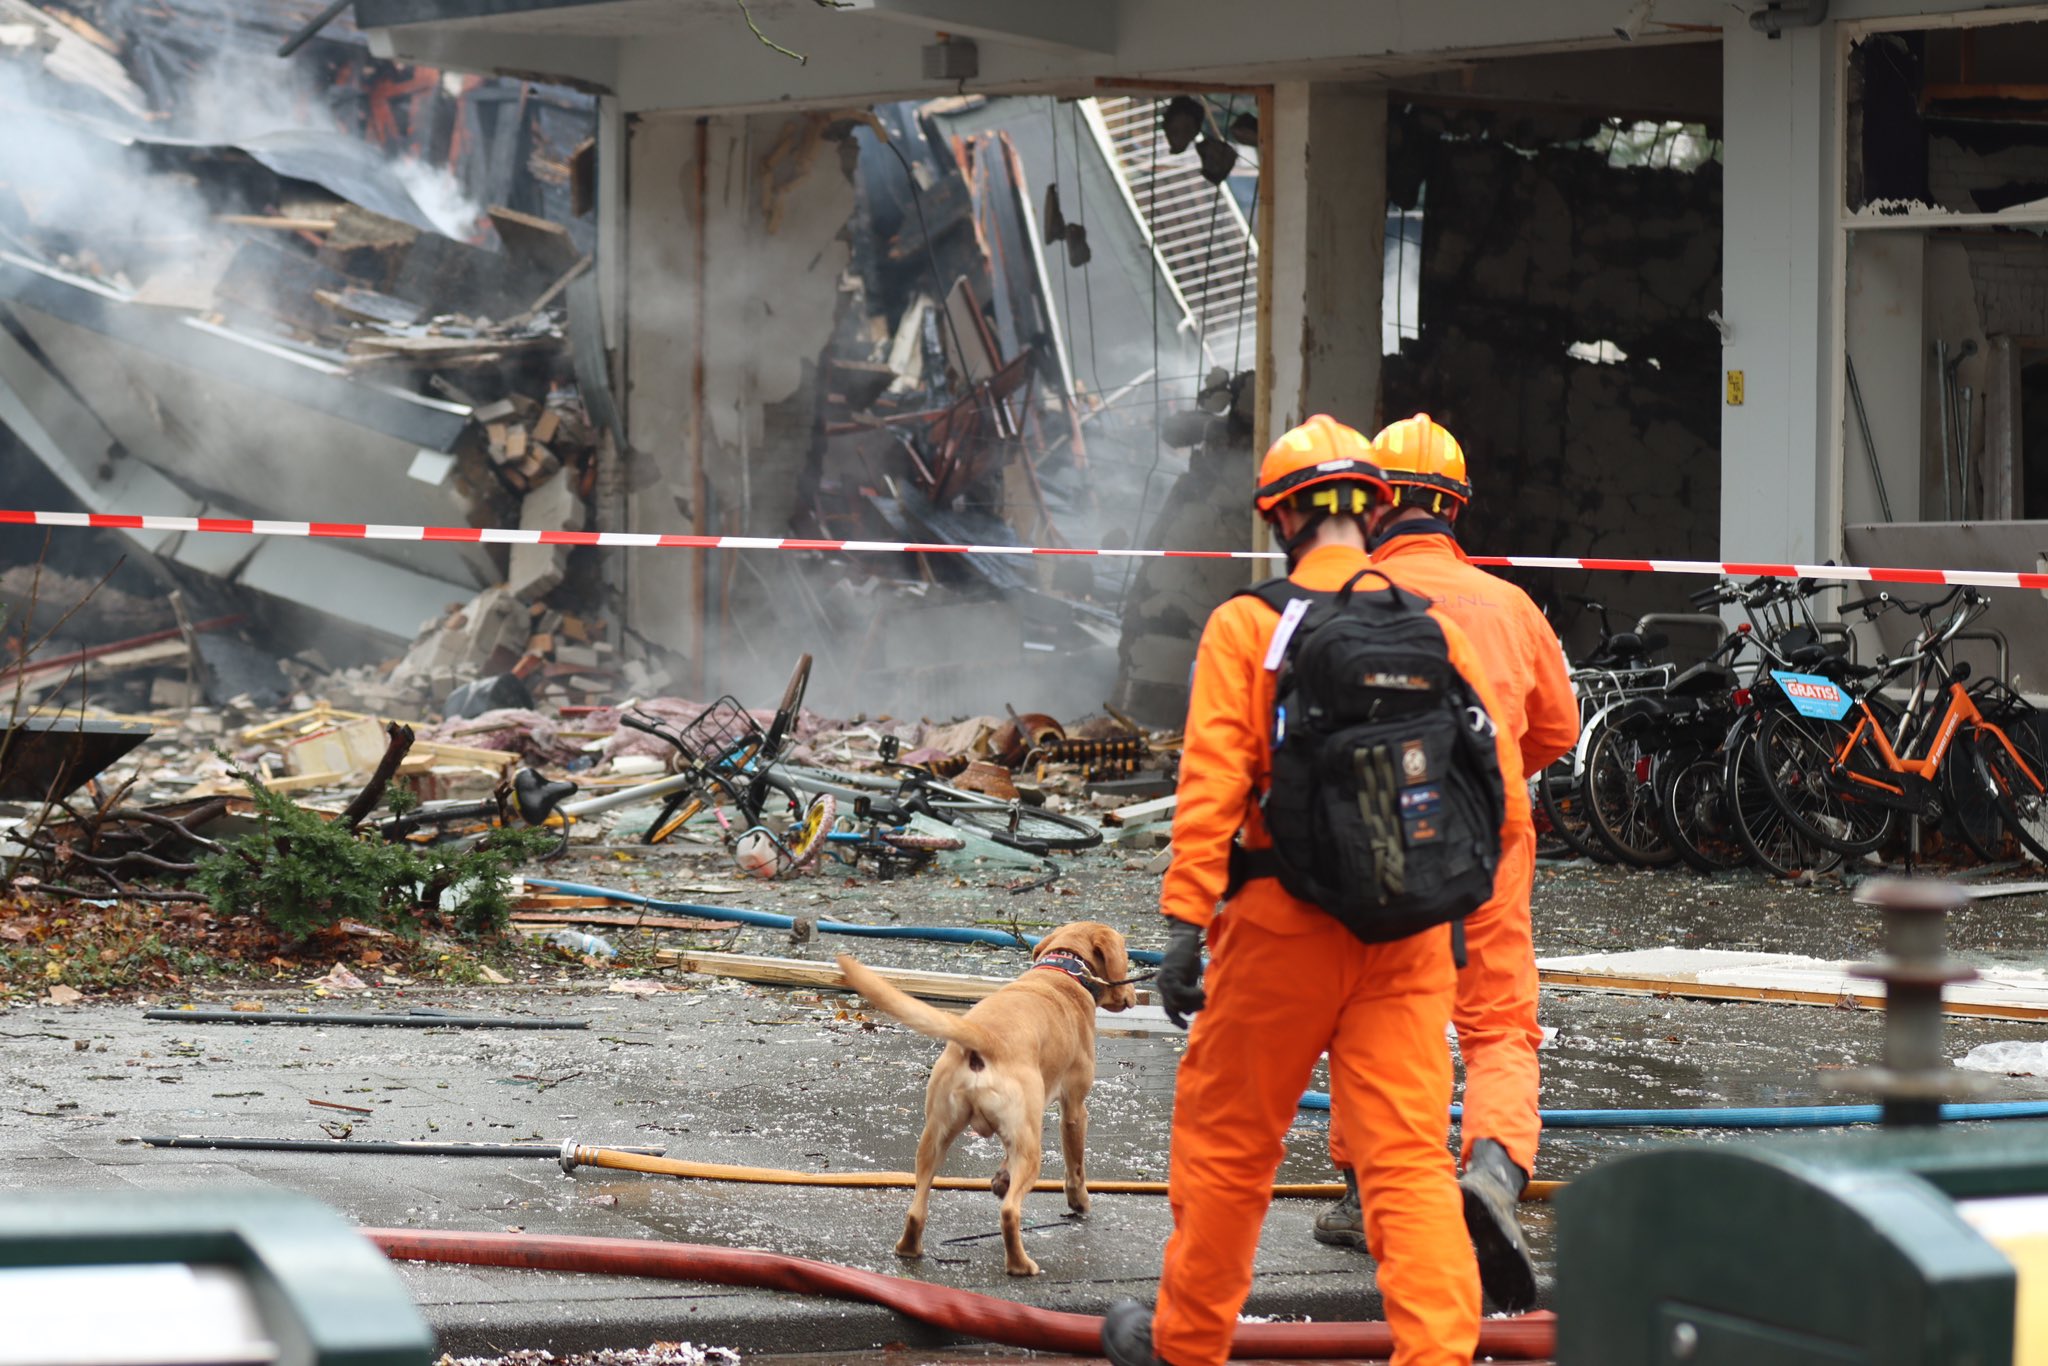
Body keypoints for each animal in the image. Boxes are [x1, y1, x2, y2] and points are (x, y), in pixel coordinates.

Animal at [839, 925, 1146, 1277]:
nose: (1134, 995)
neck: (1065, 969)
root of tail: (984, 1037)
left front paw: (1001, 1178)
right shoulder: (1073, 1110)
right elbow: (1076, 1165)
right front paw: (1079, 1201)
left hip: (936, 1138)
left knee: (917, 1209)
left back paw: (909, 1248)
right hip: (1031, 1149)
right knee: (1010, 1212)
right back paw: (1020, 1264)